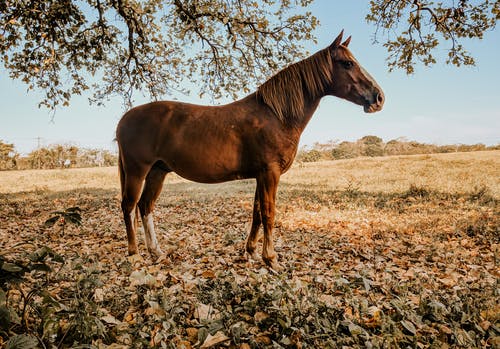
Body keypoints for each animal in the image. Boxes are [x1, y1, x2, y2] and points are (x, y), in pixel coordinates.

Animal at [116, 30, 382, 270]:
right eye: (348, 63)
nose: (378, 98)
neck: (276, 115)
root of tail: (124, 119)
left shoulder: (260, 175)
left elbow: (256, 213)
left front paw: (251, 252)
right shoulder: (270, 173)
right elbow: (269, 213)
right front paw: (271, 259)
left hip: (157, 171)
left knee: (145, 206)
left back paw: (156, 251)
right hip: (137, 171)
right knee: (129, 206)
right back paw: (134, 254)